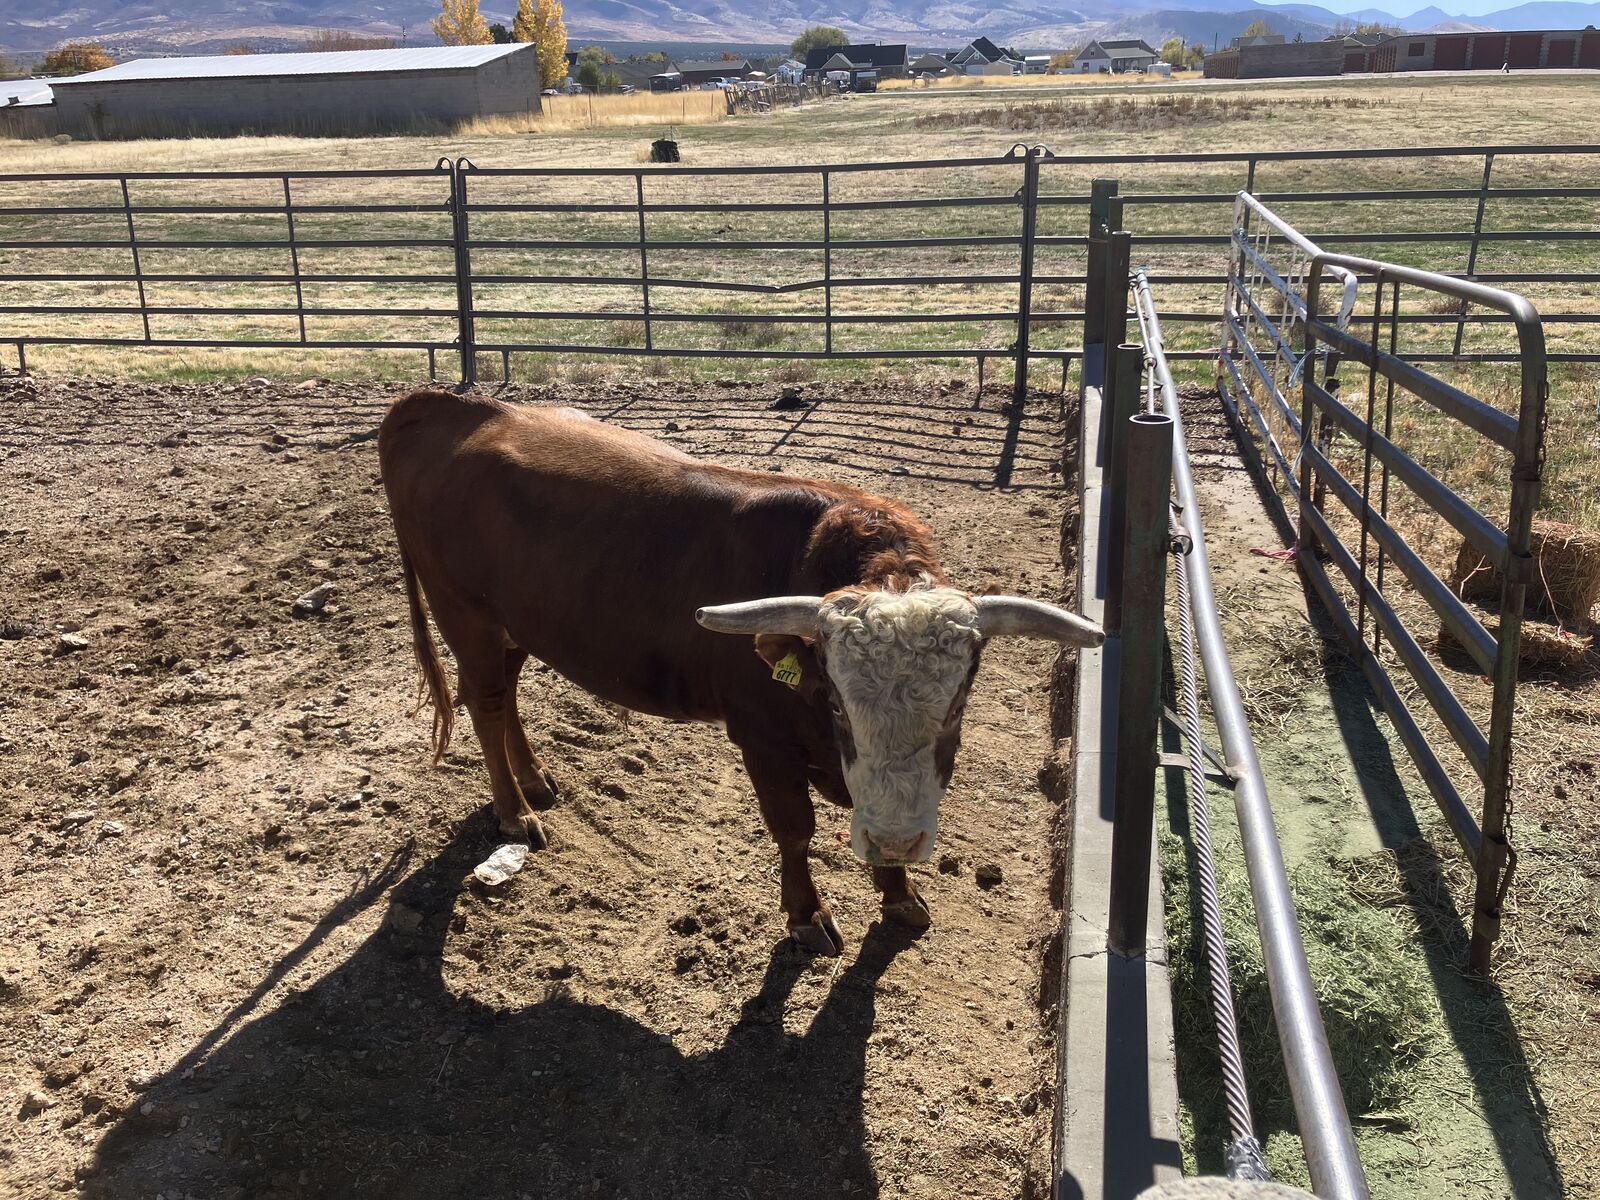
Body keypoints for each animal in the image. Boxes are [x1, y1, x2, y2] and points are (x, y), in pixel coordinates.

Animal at [378, 390, 1101, 955]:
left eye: (955, 706)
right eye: (837, 704)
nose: (898, 840)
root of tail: (452, 406)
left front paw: (898, 893)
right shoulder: (762, 738)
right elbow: (794, 828)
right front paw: (809, 914)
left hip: (518, 622)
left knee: (507, 693)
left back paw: (536, 779)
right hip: (464, 613)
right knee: (485, 700)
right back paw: (516, 812)